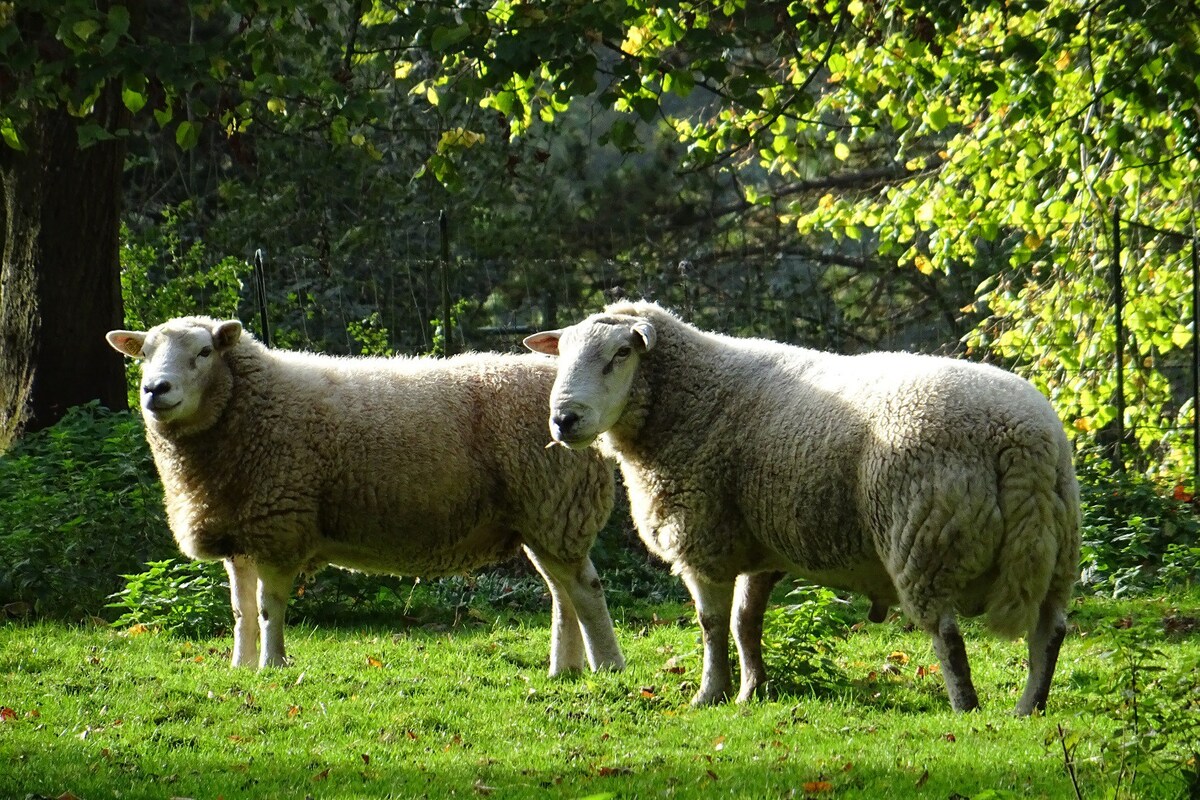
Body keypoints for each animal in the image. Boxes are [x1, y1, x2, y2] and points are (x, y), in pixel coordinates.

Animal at [109, 314, 628, 676]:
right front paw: (241, 666)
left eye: (203, 352)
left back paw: (607, 667)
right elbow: (242, 611)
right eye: (143, 354)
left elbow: (269, 607)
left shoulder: (281, 526)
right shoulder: (243, 532)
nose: (155, 389)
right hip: (541, 518)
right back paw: (564, 669)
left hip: (556, 505)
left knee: (585, 590)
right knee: (563, 594)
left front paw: (272, 667)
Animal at [525, 299, 1080, 714]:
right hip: (1056, 550)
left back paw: (966, 708)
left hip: (925, 537)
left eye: (621, 353)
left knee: (947, 635)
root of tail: (1021, 436)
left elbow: (711, 625)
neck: (686, 398)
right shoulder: (759, 547)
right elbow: (745, 623)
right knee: (1049, 634)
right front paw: (751, 692)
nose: (564, 420)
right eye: (562, 355)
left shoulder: (704, 539)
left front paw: (709, 695)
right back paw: (1029, 708)